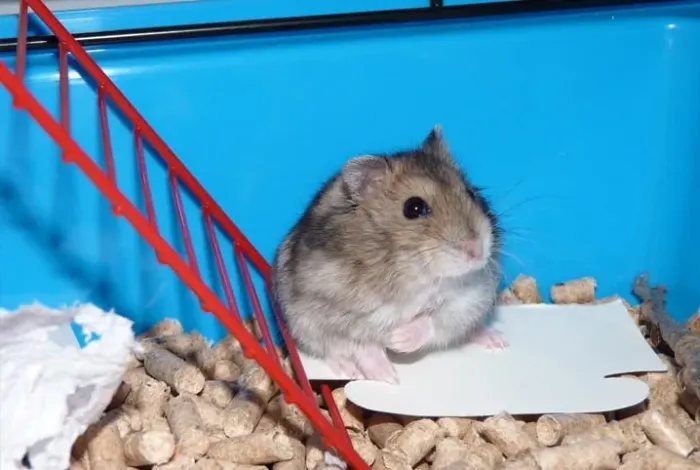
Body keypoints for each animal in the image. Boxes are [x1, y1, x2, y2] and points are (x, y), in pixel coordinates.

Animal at [271, 126, 504, 384]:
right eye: (413, 208)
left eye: (471, 193)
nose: (477, 252)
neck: (410, 272)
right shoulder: (323, 310)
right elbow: (357, 343)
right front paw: (389, 375)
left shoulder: (471, 295)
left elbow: (435, 318)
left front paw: (398, 340)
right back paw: (350, 369)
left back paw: (496, 340)